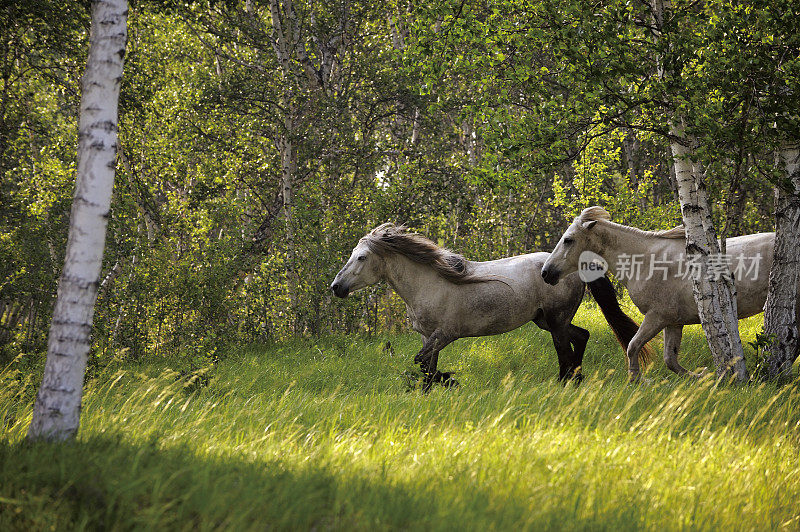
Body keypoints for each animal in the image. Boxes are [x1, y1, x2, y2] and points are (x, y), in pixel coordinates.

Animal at [332, 222, 648, 388]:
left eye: (361, 257)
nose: (336, 287)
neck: (430, 283)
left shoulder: (445, 334)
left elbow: (421, 362)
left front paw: (449, 380)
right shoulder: (427, 336)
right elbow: (426, 366)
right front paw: (432, 388)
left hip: (556, 321)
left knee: (565, 353)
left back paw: (563, 383)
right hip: (545, 320)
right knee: (581, 337)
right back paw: (576, 380)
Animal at [544, 206, 792, 380]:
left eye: (568, 240)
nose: (546, 273)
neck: (646, 260)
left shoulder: (656, 317)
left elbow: (633, 347)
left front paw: (637, 380)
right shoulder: (673, 322)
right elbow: (669, 359)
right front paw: (701, 376)